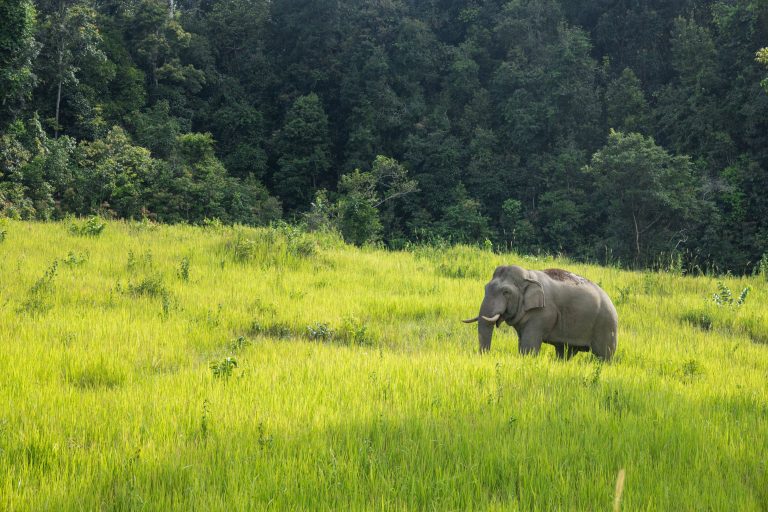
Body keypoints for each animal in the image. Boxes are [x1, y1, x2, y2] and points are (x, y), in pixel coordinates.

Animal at [463, 265, 618, 360]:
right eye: (485, 287)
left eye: (506, 292)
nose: (485, 356)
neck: (528, 275)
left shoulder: (543, 313)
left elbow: (529, 345)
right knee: (565, 352)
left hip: (605, 325)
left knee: (603, 356)